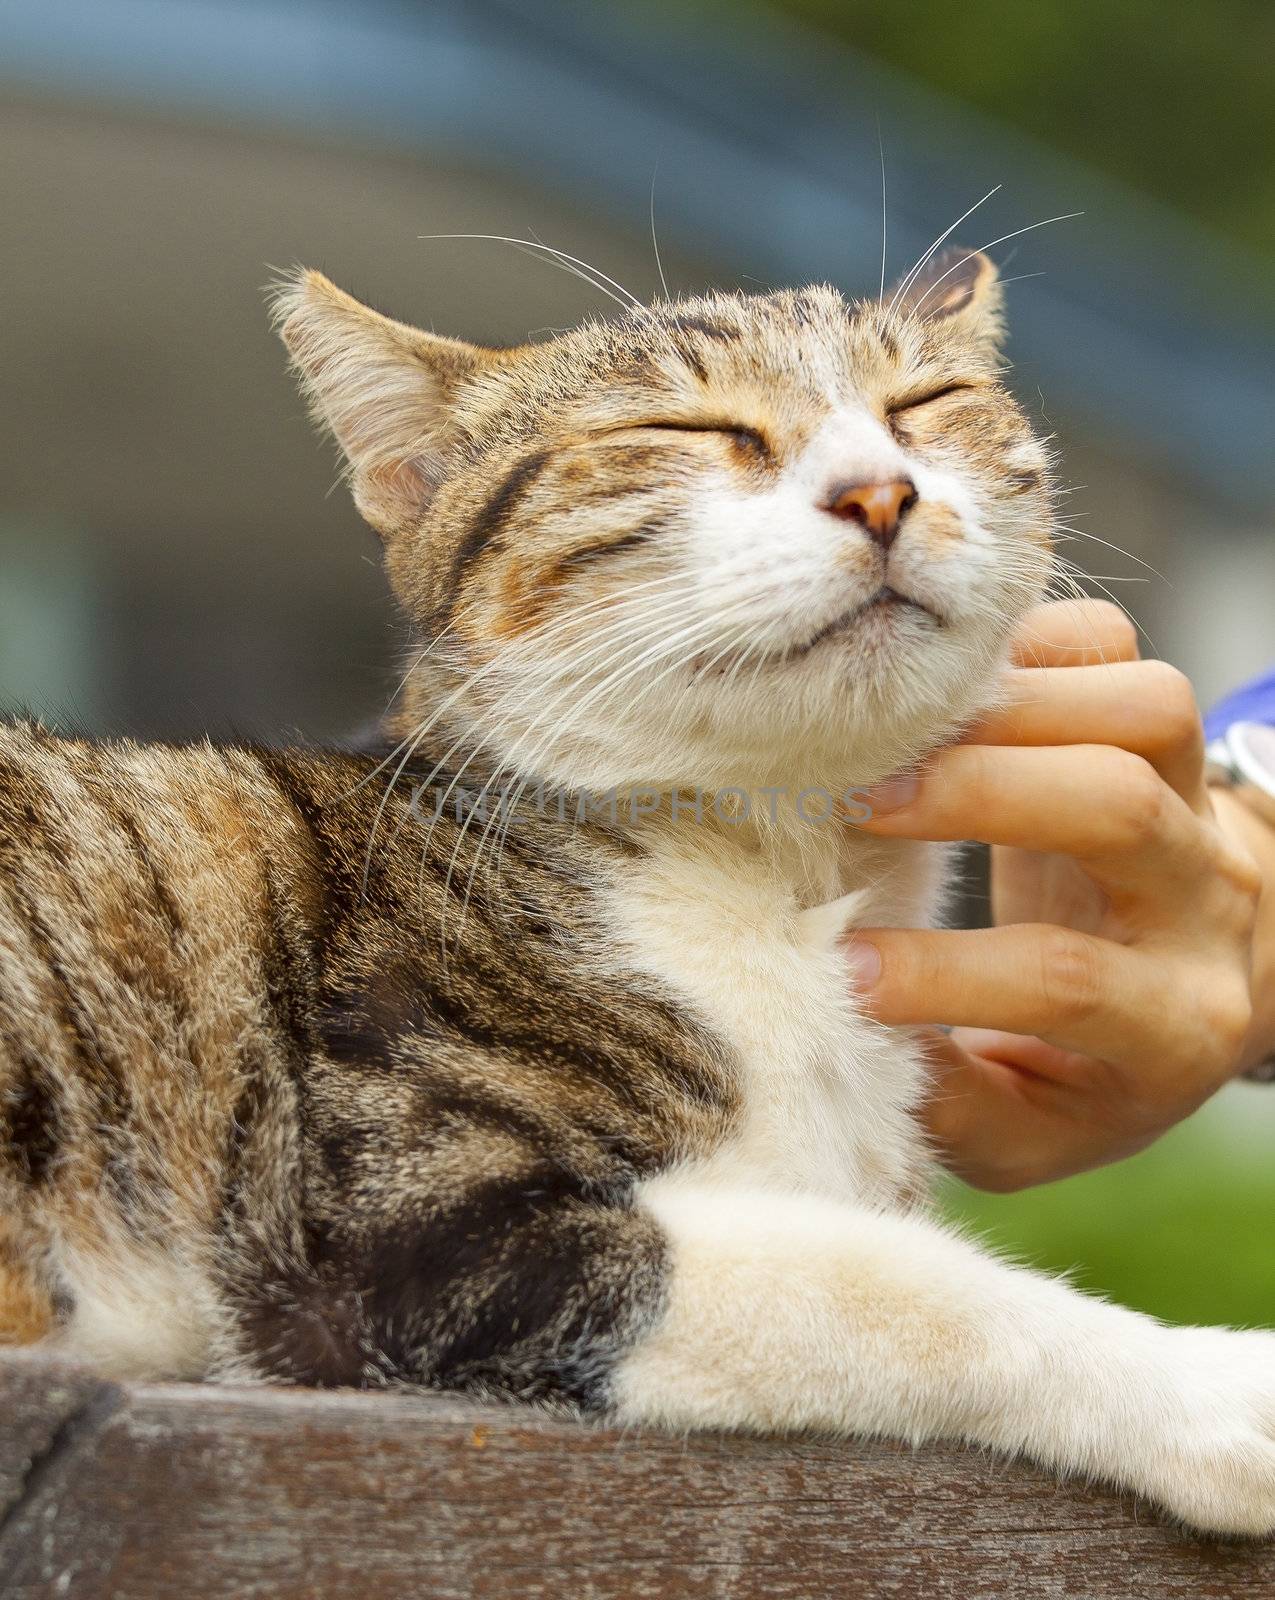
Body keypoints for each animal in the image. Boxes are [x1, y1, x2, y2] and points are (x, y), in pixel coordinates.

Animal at [0, 246, 1267, 1536]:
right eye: (690, 427)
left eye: (924, 404)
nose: (879, 492)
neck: (783, 868)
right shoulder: (393, 1231)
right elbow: (893, 1283)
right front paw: (1207, 1381)